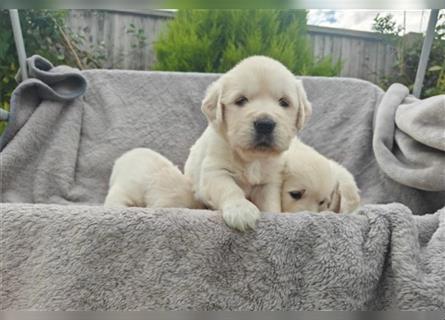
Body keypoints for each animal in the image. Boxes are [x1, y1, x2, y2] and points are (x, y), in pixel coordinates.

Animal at [182, 55, 310, 230]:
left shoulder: (270, 180)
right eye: (240, 100)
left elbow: (270, 201)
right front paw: (241, 210)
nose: (265, 124)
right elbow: (229, 188)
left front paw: (275, 217)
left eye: (284, 102)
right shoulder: (214, 171)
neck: (253, 158)